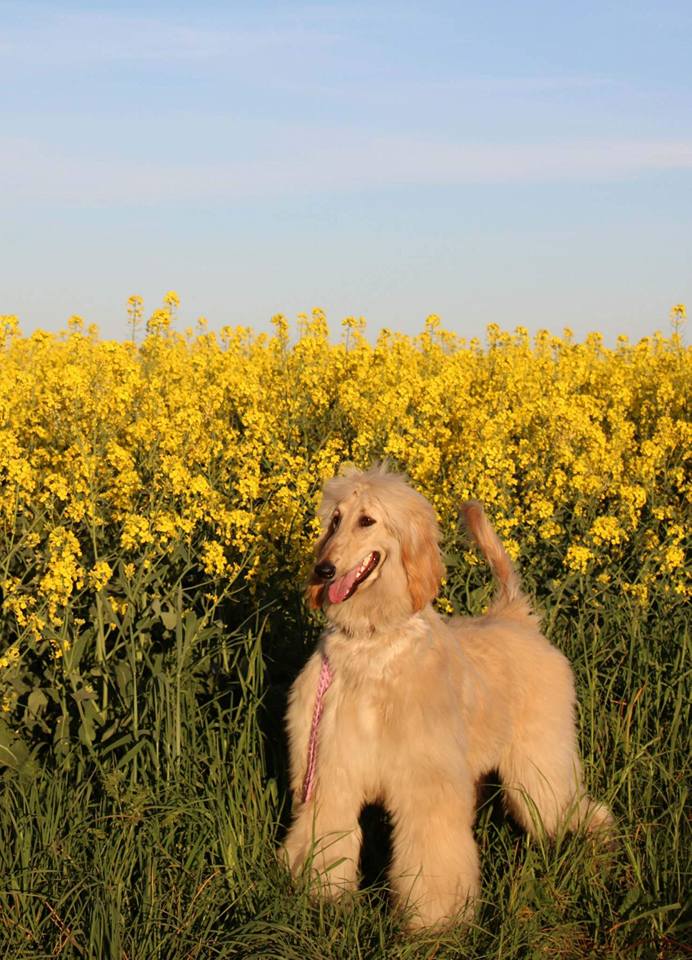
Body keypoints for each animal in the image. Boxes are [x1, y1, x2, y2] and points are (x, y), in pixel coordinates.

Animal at [282, 464, 612, 928]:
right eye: (334, 520)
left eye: (367, 520)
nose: (324, 570)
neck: (373, 644)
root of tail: (516, 618)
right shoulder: (331, 772)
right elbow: (329, 833)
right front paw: (323, 899)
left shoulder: (426, 781)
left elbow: (432, 849)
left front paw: (436, 920)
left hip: (540, 756)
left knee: (559, 803)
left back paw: (595, 833)